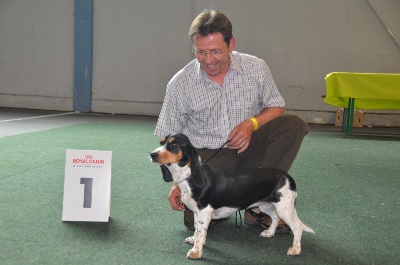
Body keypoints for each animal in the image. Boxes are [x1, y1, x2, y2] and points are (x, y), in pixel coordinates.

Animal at [148, 132, 314, 258]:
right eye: (161, 142)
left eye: (173, 144)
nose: (152, 154)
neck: (188, 177)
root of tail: (288, 177)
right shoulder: (196, 212)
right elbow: (197, 230)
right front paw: (194, 241)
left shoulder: (204, 211)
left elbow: (201, 232)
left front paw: (196, 251)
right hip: (267, 206)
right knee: (275, 218)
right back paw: (269, 233)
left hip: (284, 208)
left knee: (297, 227)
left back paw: (295, 250)